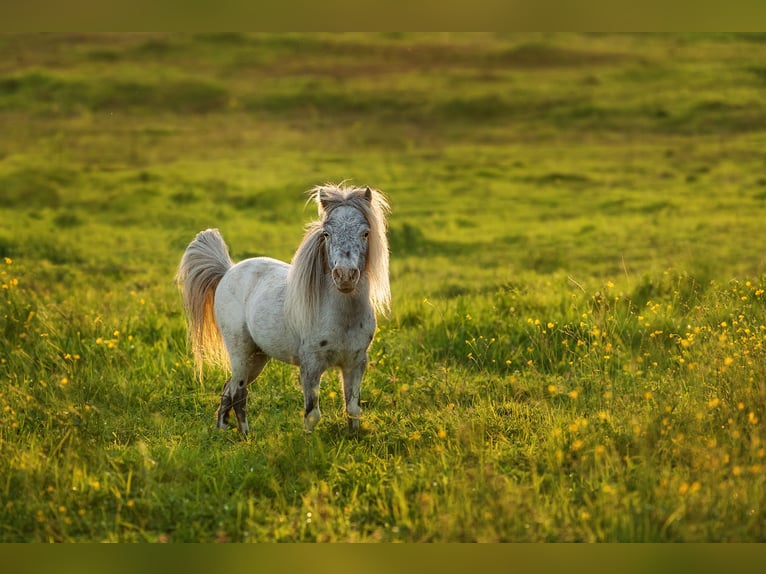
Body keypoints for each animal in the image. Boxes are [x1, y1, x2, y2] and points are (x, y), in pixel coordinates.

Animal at [176, 184, 390, 435]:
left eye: (365, 233)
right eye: (326, 234)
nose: (345, 276)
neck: (343, 318)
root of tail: (228, 270)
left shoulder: (355, 363)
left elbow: (353, 409)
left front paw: (353, 438)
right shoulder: (310, 365)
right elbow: (312, 414)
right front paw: (309, 441)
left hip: (257, 358)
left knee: (229, 387)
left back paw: (221, 429)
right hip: (240, 353)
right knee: (239, 393)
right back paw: (246, 436)